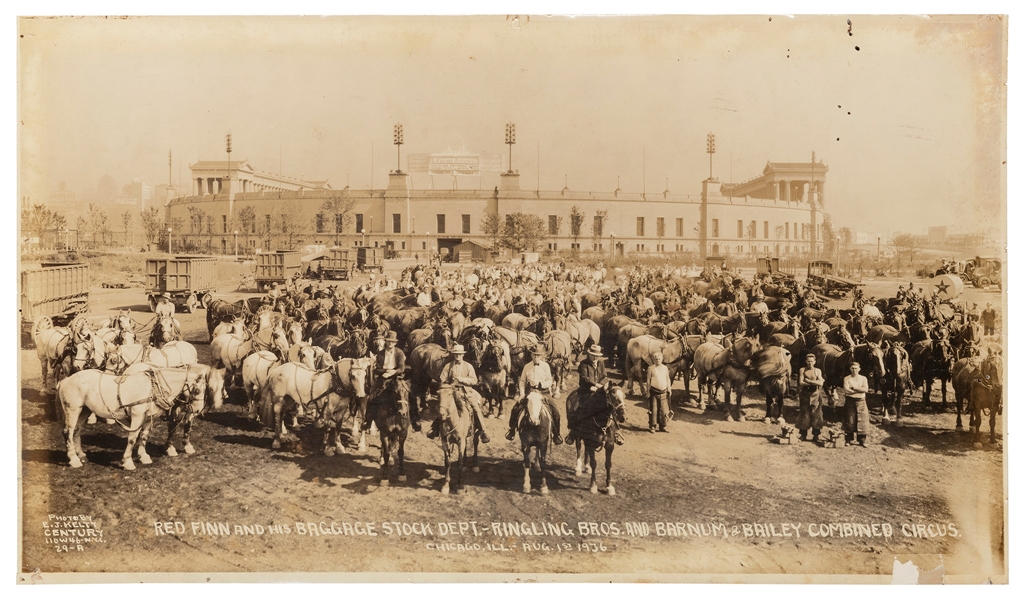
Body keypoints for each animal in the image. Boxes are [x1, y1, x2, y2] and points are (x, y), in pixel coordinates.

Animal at [58, 363, 219, 472]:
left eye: (207, 391)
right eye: (197, 390)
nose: (197, 410)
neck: (152, 387)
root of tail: (65, 380)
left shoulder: (147, 418)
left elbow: (144, 436)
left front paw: (144, 456)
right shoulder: (137, 416)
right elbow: (132, 438)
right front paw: (128, 462)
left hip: (84, 410)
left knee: (76, 431)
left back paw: (81, 455)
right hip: (73, 409)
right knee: (67, 432)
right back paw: (73, 460)